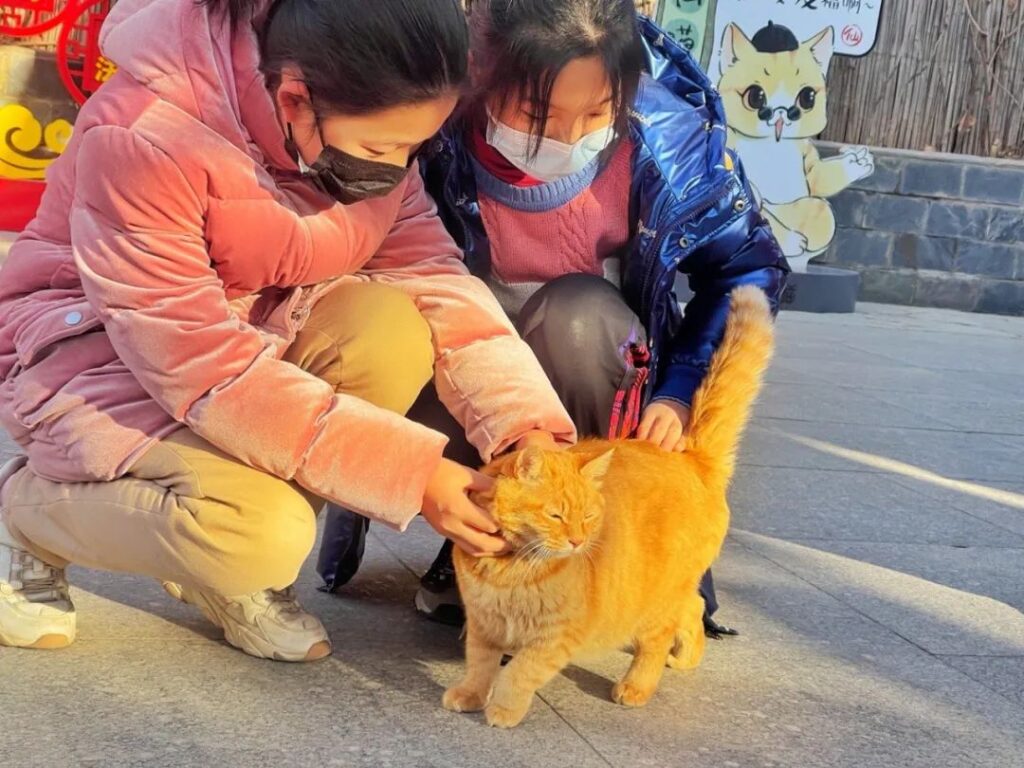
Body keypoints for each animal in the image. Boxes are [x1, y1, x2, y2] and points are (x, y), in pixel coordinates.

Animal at [444, 286, 770, 729]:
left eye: (588, 516)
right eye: (556, 515)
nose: (578, 542)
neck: (509, 571)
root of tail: (693, 457)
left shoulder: (555, 637)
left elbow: (518, 673)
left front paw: (504, 711)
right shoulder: (482, 624)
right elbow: (479, 666)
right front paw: (470, 695)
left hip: (656, 600)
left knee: (661, 636)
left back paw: (636, 686)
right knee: (695, 607)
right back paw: (686, 658)